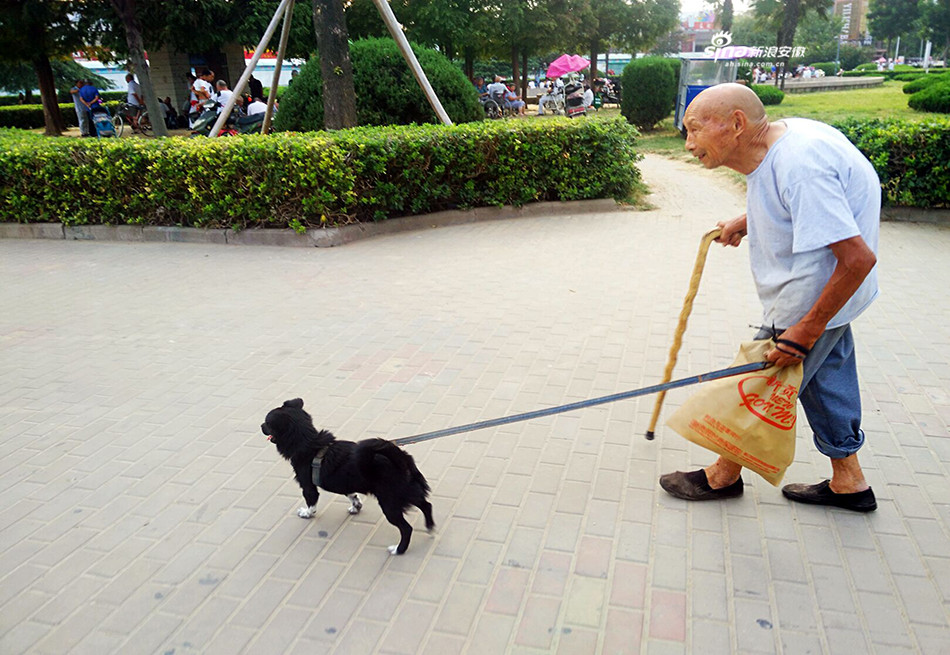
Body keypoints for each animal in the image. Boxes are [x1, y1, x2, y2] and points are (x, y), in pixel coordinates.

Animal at [262, 398, 436, 556]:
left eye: (267, 423)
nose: (260, 426)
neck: (309, 442)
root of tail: (401, 460)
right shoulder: (345, 483)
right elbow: (351, 494)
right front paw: (356, 506)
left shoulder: (308, 486)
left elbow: (311, 502)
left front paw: (306, 513)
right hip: (408, 492)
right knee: (426, 505)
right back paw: (430, 528)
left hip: (389, 504)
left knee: (407, 528)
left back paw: (398, 549)